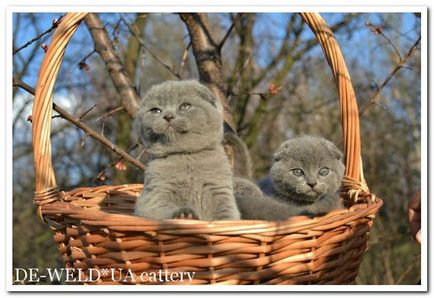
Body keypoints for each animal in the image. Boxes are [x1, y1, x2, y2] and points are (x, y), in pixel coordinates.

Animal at [133, 80, 239, 220]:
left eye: (185, 106)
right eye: (156, 110)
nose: (168, 116)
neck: (186, 156)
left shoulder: (219, 190)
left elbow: (226, 216)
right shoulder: (154, 195)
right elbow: (163, 209)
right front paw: (184, 214)